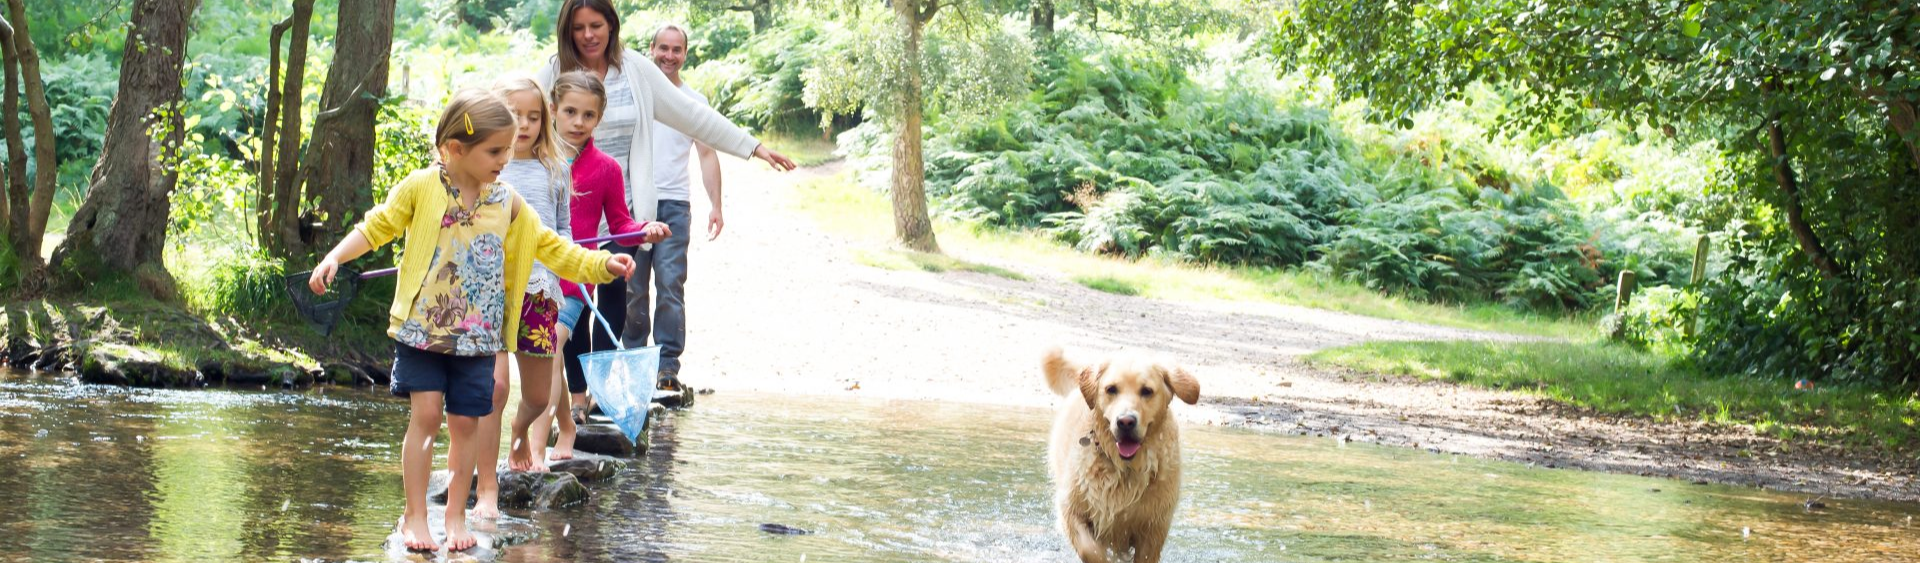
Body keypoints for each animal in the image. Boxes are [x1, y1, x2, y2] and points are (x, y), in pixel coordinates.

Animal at [1044, 343, 1190, 557]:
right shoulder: (1071, 508)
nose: (1125, 421)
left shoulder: (1154, 528)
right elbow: (1090, 549)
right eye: (1111, 389)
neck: (1125, 467)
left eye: (1147, 391)